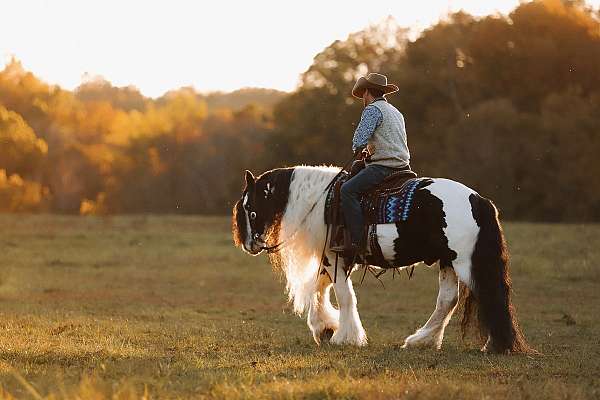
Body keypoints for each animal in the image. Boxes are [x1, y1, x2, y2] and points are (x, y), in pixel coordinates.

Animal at [232, 165, 532, 354]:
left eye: (250, 207)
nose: (249, 244)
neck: (319, 202)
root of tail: (478, 199)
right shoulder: (332, 258)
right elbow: (321, 288)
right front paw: (325, 328)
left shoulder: (336, 257)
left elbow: (345, 296)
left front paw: (345, 337)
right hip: (448, 261)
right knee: (448, 301)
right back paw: (421, 342)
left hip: (464, 262)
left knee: (488, 294)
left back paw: (492, 345)